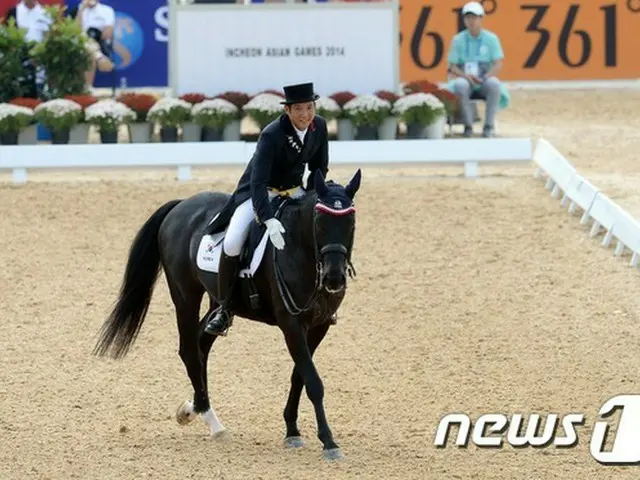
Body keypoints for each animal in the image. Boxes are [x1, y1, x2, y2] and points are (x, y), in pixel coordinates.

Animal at [92, 169, 362, 462]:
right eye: (319, 222)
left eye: (351, 223)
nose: (334, 279)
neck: (301, 251)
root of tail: (181, 205)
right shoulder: (291, 323)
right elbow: (312, 380)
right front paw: (329, 442)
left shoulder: (319, 325)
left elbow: (299, 375)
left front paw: (292, 430)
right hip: (185, 295)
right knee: (189, 350)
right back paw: (214, 423)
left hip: (217, 301)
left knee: (201, 344)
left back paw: (192, 408)